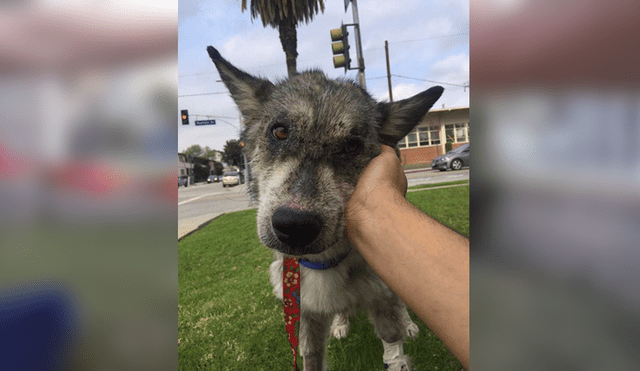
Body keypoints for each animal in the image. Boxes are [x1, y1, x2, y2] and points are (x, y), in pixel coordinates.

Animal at [208, 46, 442, 371]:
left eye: (352, 146)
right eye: (279, 132)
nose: (294, 225)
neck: (323, 263)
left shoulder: (381, 297)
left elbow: (392, 342)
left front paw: (399, 349)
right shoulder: (306, 314)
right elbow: (311, 357)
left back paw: (407, 322)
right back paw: (341, 322)